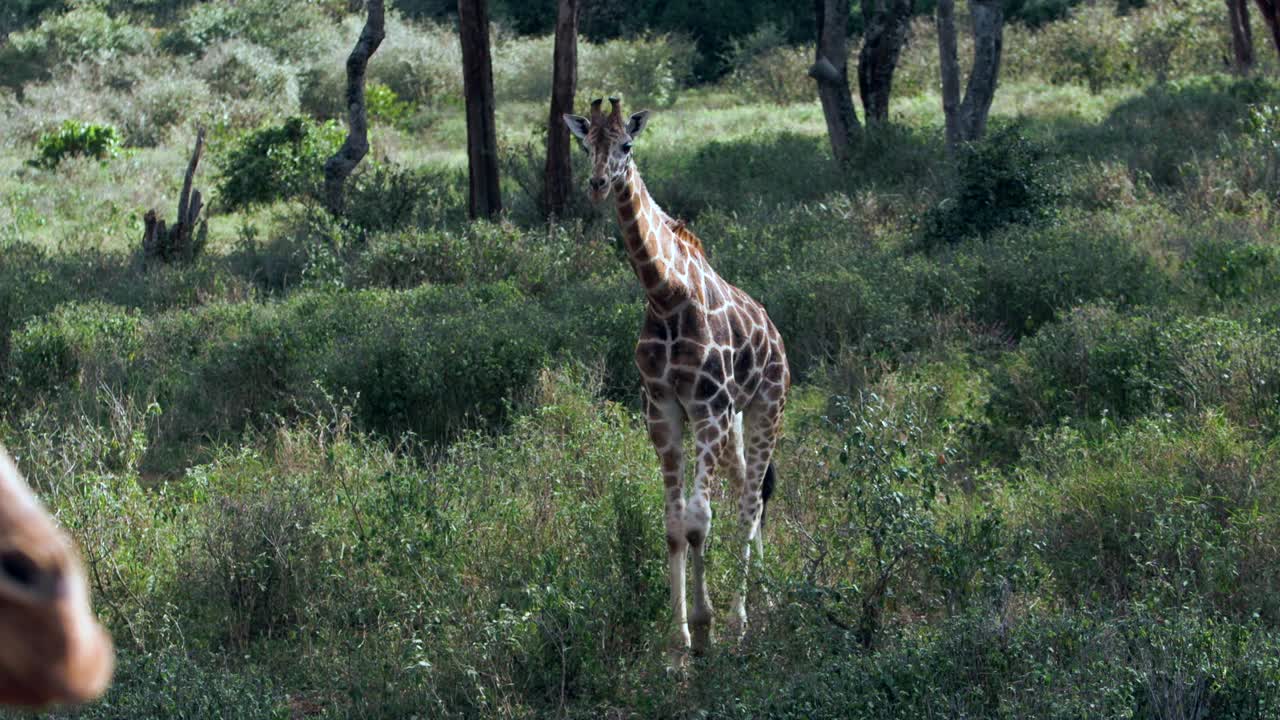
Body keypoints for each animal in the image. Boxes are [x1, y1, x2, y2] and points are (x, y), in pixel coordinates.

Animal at [563, 98, 783, 661]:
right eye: (585, 143)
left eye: (626, 144)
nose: (597, 184)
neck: (665, 295)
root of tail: (774, 332)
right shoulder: (663, 411)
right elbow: (672, 525)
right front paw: (676, 639)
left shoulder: (708, 409)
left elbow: (699, 519)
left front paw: (705, 628)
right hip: (734, 422)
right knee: (748, 489)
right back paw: (765, 594)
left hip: (765, 406)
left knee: (750, 502)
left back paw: (741, 618)